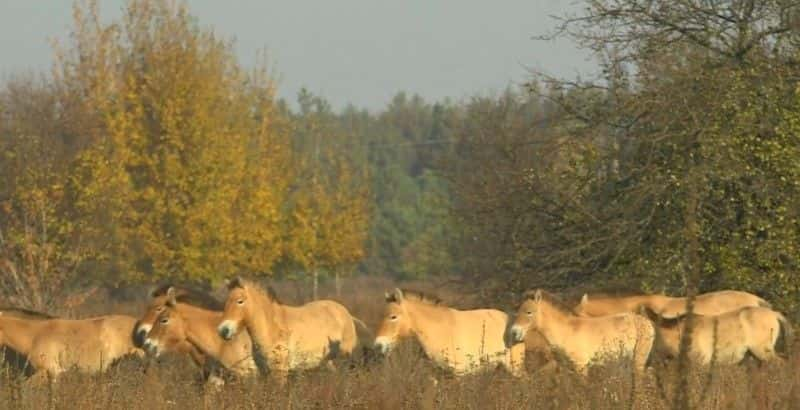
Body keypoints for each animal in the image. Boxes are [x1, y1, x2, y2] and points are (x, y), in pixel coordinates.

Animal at [214, 278, 360, 382]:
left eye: (240, 301)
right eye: (226, 301)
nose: (223, 330)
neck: (270, 327)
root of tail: (346, 313)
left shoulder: (280, 371)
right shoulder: (264, 371)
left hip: (343, 359)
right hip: (328, 362)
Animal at [510, 288, 652, 374]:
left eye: (529, 312)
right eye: (516, 311)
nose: (514, 332)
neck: (566, 332)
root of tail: (645, 321)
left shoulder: (581, 367)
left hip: (638, 360)